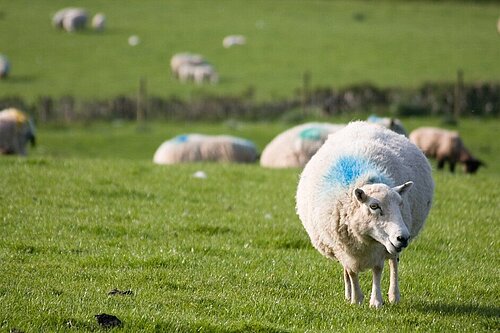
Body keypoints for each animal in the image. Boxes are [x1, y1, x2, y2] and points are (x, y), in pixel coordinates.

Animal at [296, 120, 434, 308]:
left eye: (400, 204)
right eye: (374, 206)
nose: (403, 237)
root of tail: (362, 123)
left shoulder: (380, 247)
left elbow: (378, 270)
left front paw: (376, 301)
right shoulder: (344, 247)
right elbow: (351, 272)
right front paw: (356, 299)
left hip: (392, 247)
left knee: (394, 263)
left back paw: (394, 295)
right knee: (347, 270)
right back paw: (348, 294)